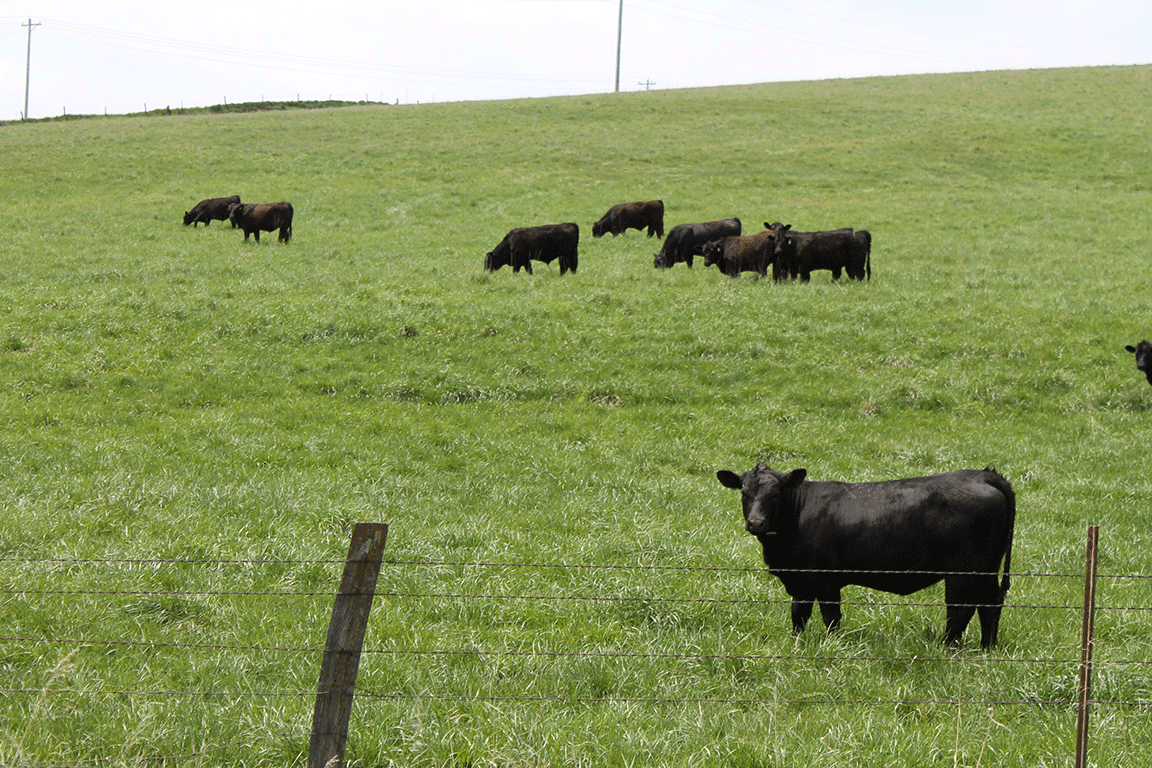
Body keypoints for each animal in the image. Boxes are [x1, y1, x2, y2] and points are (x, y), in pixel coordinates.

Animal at [716, 463, 1015, 648]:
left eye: (776, 493)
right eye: (744, 492)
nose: (756, 522)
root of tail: (982, 474)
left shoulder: (825, 580)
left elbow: (831, 617)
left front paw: (833, 645)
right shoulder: (800, 582)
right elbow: (798, 615)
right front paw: (796, 643)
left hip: (963, 570)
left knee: (960, 608)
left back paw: (947, 647)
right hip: (988, 567)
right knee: (990, 603)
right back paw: (987, 648)